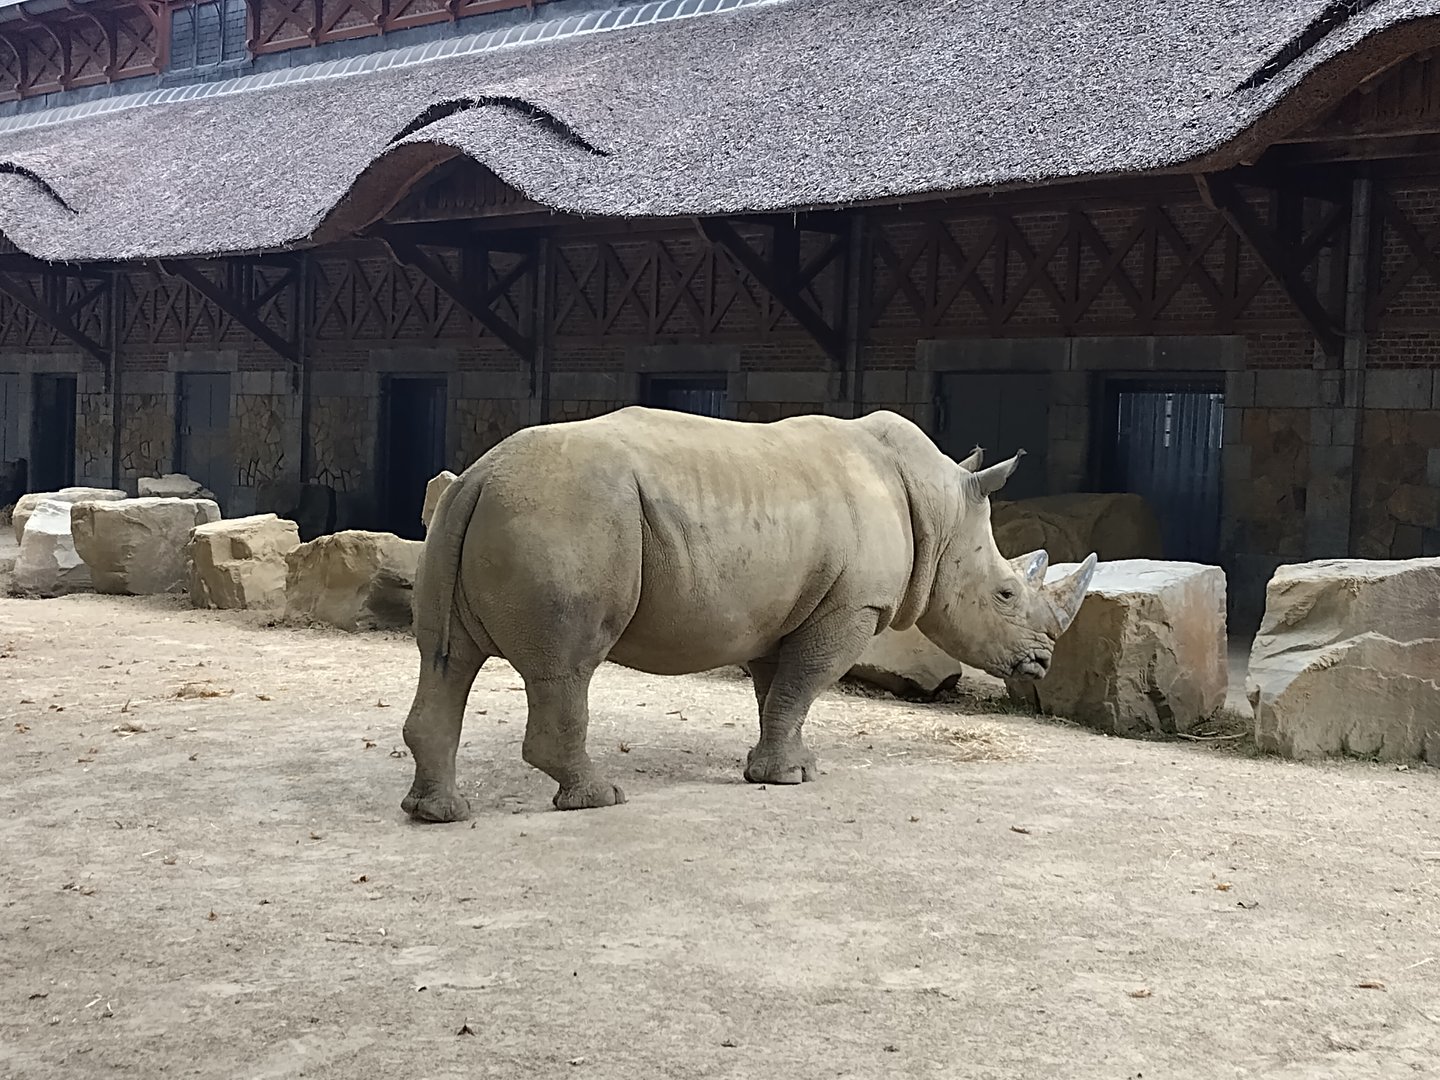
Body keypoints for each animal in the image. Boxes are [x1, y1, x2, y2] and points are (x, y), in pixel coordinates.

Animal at [401, 407, 1095, 821]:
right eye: (1005, 594)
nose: (1042, 663)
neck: (940, 507)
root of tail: (480, 474)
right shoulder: (851, 605)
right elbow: (805, 684)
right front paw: (790, 779)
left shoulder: (786, 609)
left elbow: (779, 691)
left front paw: (788, 768)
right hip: (567, 517)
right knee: (568, 668)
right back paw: (600, 800)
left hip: (485, 516)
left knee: (445, 659)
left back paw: (438, 813)